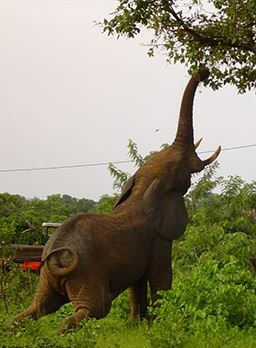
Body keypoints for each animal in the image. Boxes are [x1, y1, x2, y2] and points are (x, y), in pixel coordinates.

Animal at [13, 68, 220, 332]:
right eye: (182, 165)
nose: (204, 71)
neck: (144, 188)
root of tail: (57, 256)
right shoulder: (159, 239)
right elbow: (161, 277)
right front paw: (160, 325)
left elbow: (137, 283)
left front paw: (137, 327)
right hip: (86, 273)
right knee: (91, 309)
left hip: (46, 276)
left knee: (35, 309)